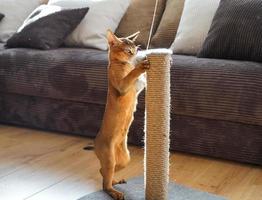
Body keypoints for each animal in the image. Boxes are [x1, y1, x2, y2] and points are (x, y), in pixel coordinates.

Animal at [94, 30, 149, 200]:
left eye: (136, 50)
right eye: (128, 51)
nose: (135, 54)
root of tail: (95, 143)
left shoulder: (137, 88)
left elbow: (139, 81)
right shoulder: (122, 86)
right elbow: (131, 74)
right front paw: (140, 66)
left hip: (125, 159)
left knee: (104, 172)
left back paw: (115, 181)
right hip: (110, 157)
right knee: (104, 183)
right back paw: (114, 192)